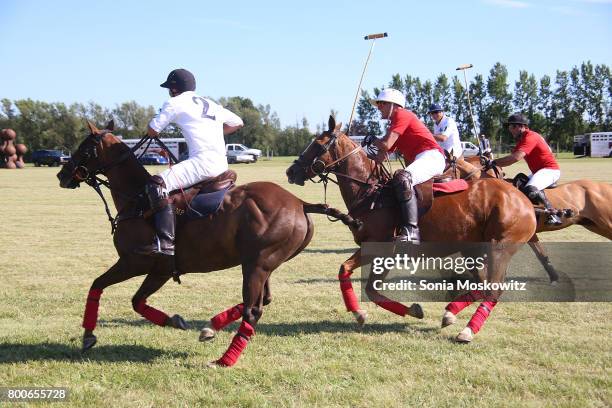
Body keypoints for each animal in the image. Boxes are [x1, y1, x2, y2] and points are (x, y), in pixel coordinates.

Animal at [56, 119, 358, 368]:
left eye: (84, 148)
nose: (62, 175)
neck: (137, 199)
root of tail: (299, 202)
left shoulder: (135, 261)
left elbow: (98, 285)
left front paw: (87, 335)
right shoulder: (160, 270)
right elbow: (136, 301)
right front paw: (175, 321)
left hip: (257, 264)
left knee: (253, 310)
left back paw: (224, 360)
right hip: (265, 263)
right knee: (262, 300)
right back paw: (211, 327)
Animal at [286, 116, 536, 342]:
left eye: (318, 145)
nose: (290, 172)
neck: (370, 194)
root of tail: (523, 199)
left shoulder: (383, 251)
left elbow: (371, 289)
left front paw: (405, 311)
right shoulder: (374, 250)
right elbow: (346, 271)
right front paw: (361, 313)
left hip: (499, 247)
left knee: (494, 288)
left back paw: (467, 331)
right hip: (472, 249)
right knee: (483, 284)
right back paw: (450, 313)